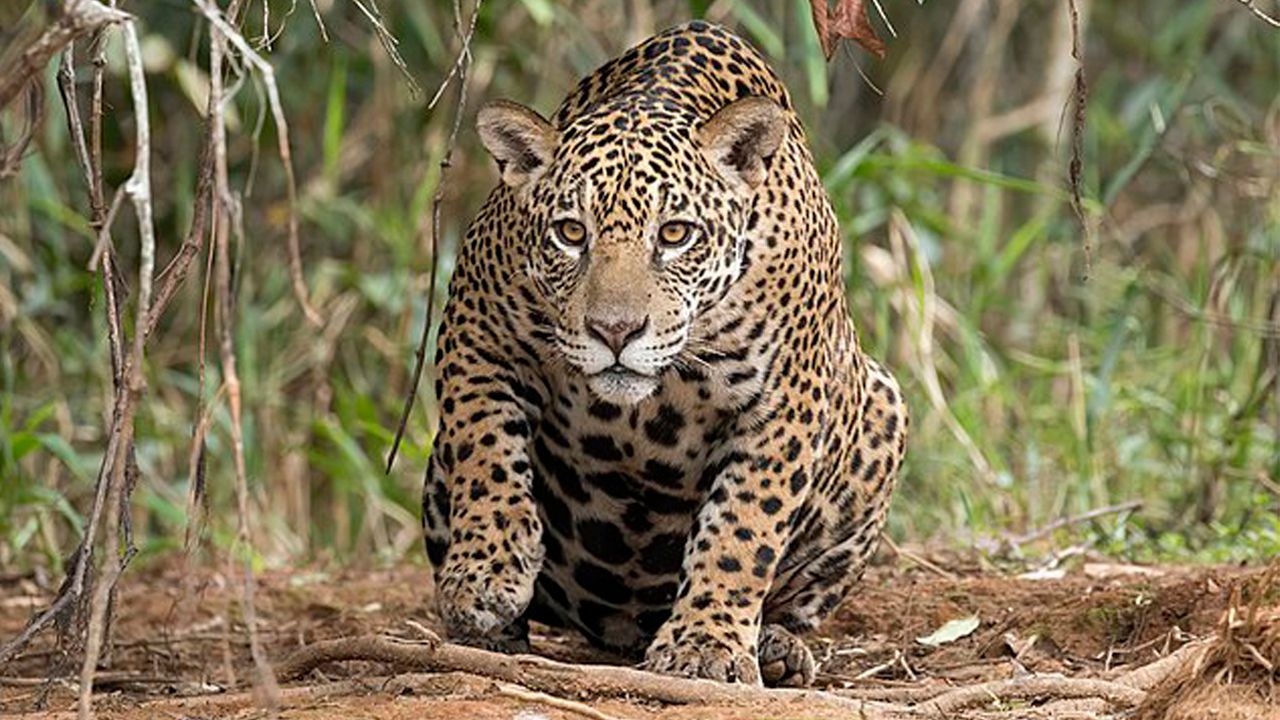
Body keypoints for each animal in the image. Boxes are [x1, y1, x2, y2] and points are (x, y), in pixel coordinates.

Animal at [421, 20, 908, 687]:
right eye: (571, 233)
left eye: (675, 234)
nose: (615, 330)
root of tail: (622, 627)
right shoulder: (476, 329)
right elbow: (485, 448)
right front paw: (485, 574)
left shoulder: (786, 401)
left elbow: (743, 525)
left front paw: (706, 643)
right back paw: (490, 634)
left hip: (883, 409)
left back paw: (776, 649)